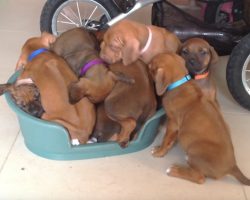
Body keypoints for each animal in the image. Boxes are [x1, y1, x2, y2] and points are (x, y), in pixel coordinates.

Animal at [148, 52, 250, 184]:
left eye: (150, 68)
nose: (145, 67)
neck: (180, 82)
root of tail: (232, 167)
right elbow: (171, 140)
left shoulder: (173, 123)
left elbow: (166, 139)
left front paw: (160, 151)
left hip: (193, 150)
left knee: (200, 178)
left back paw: (175, 170)